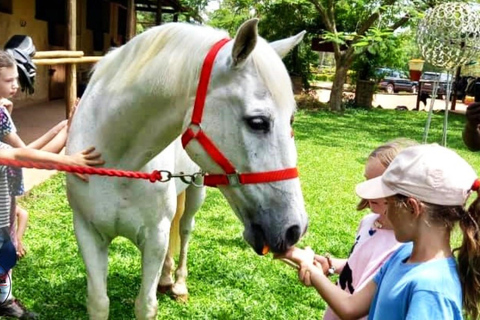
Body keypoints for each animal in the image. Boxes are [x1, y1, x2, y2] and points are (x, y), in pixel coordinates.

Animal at [65, 20, 308, 320]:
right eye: (258, 122)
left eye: (292, 120)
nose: (295, 229)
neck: (117, 163)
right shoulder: (87, 234)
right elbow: (99, 302)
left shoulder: (154, 238)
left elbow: (145, 305)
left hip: (196, 191)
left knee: (184, 229)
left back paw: (178, 283)